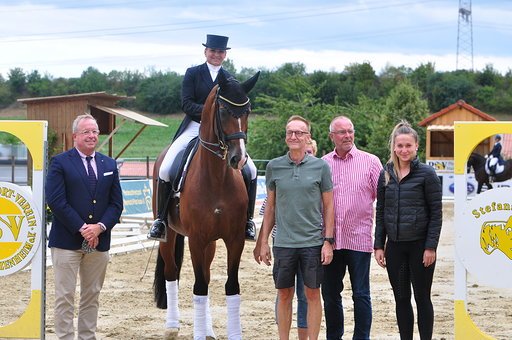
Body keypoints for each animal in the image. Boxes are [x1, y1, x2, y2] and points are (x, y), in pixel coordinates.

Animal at [150, 69, 258, 340]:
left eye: (247, 111)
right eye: (223, 111)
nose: (239, 159)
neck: (217, 176)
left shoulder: (234, 239)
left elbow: (231, 286)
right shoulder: (197, 239)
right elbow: (199, 288)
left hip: (211, 242)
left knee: (207, 276)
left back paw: (208, 330)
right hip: (171, 235)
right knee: (171, 274)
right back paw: (172, 326)